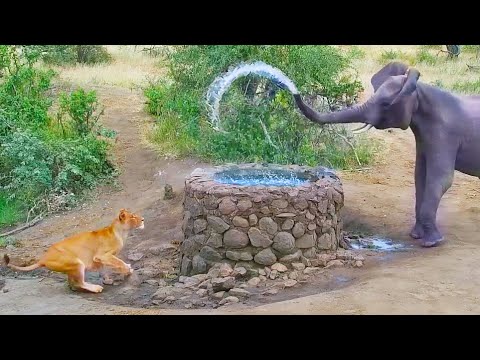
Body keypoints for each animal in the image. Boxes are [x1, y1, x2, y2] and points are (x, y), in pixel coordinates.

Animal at [290, 62, 480, 248]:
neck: (419, 90)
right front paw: (416, 236)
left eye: (386, 104)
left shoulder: (445, 134)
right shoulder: (424, 136)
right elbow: (420, 176)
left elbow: (440, 179)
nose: (294, 89)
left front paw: (432, 243)